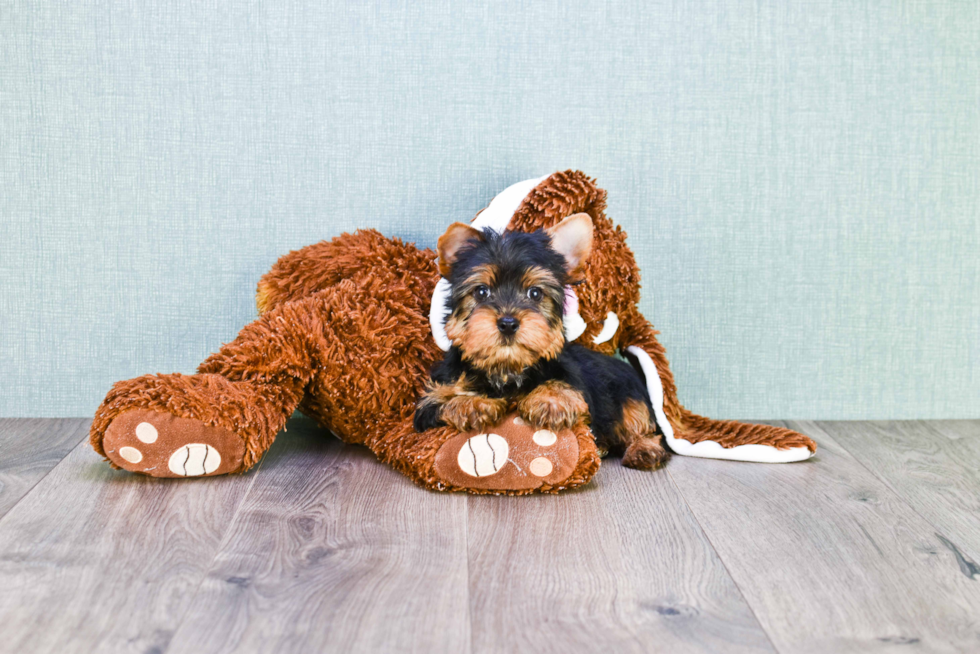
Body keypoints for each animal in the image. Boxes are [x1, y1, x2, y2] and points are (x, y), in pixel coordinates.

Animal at [414, 215, 672, 472]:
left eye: (535, 293)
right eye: (481, 292)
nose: (508, 323)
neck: (508, 368)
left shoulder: (574, 381)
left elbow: (564, 386)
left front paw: (550, 401)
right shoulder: (430, 401)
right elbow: (441, 401)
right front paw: (472, 403)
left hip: (631, 397)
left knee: (640, 425)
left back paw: (643, 449)